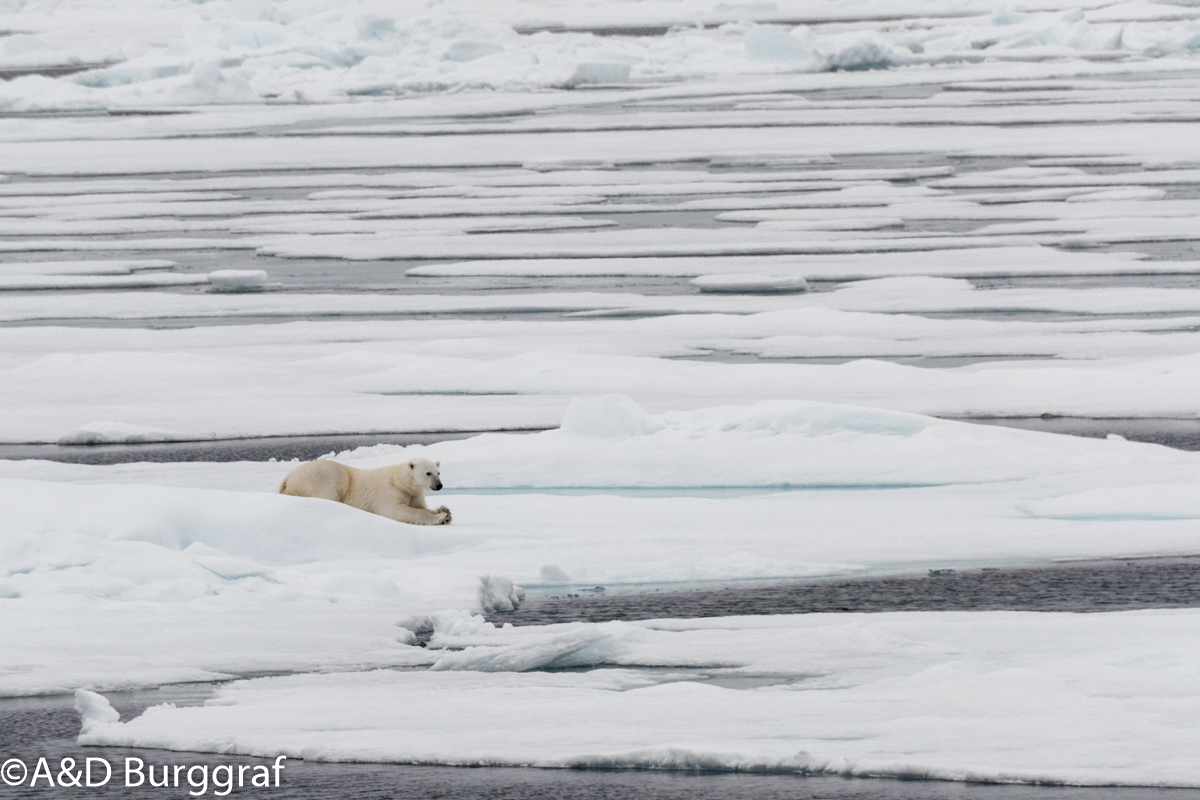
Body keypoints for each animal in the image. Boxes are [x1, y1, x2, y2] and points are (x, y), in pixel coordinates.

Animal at [278, 455, 451, 525]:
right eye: (428, 473)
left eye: (438, 473)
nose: (439, 486)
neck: (401, 481)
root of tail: (287, 479)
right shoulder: (389, 491)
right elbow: (397, 510)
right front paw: (441, 518)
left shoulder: (414, 493)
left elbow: (420, 506)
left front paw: (445, 511)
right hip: (323, 478)